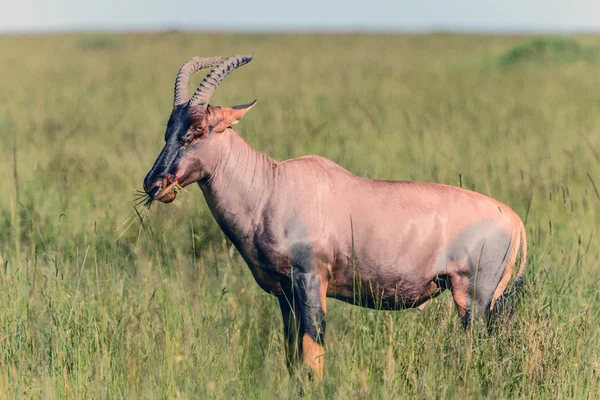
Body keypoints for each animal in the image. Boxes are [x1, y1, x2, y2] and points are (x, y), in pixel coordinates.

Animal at [143, 53, 528, 378]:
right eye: (169, 128)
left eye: (198, 129)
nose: (153, 184)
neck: (273, 186)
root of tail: (514, 220)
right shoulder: (286, 295)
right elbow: (293, 358)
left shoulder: (312, 280)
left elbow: (313, 355)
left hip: (473, 299)